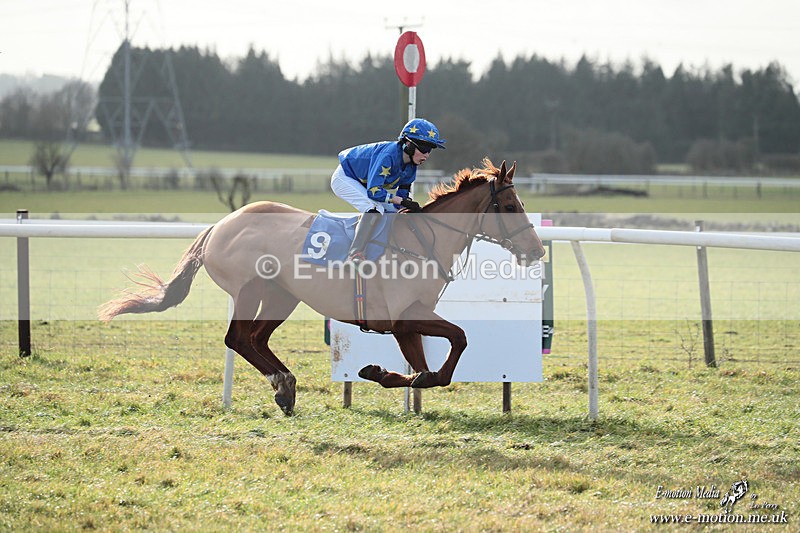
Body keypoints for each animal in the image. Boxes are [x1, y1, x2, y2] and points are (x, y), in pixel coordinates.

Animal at [99, 159, 545, 415]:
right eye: (509, 206)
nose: (537, 250)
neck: (423, 241)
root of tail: (219, 225)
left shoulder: (407, 321)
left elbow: (427, 371)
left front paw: (381, 372)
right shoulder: (404, 316)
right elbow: (456, 342)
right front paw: (380, 371)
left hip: (283, 296)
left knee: (255, 339)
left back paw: (284, 385)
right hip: (249, 289)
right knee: (237, 338)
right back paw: (282, 385)